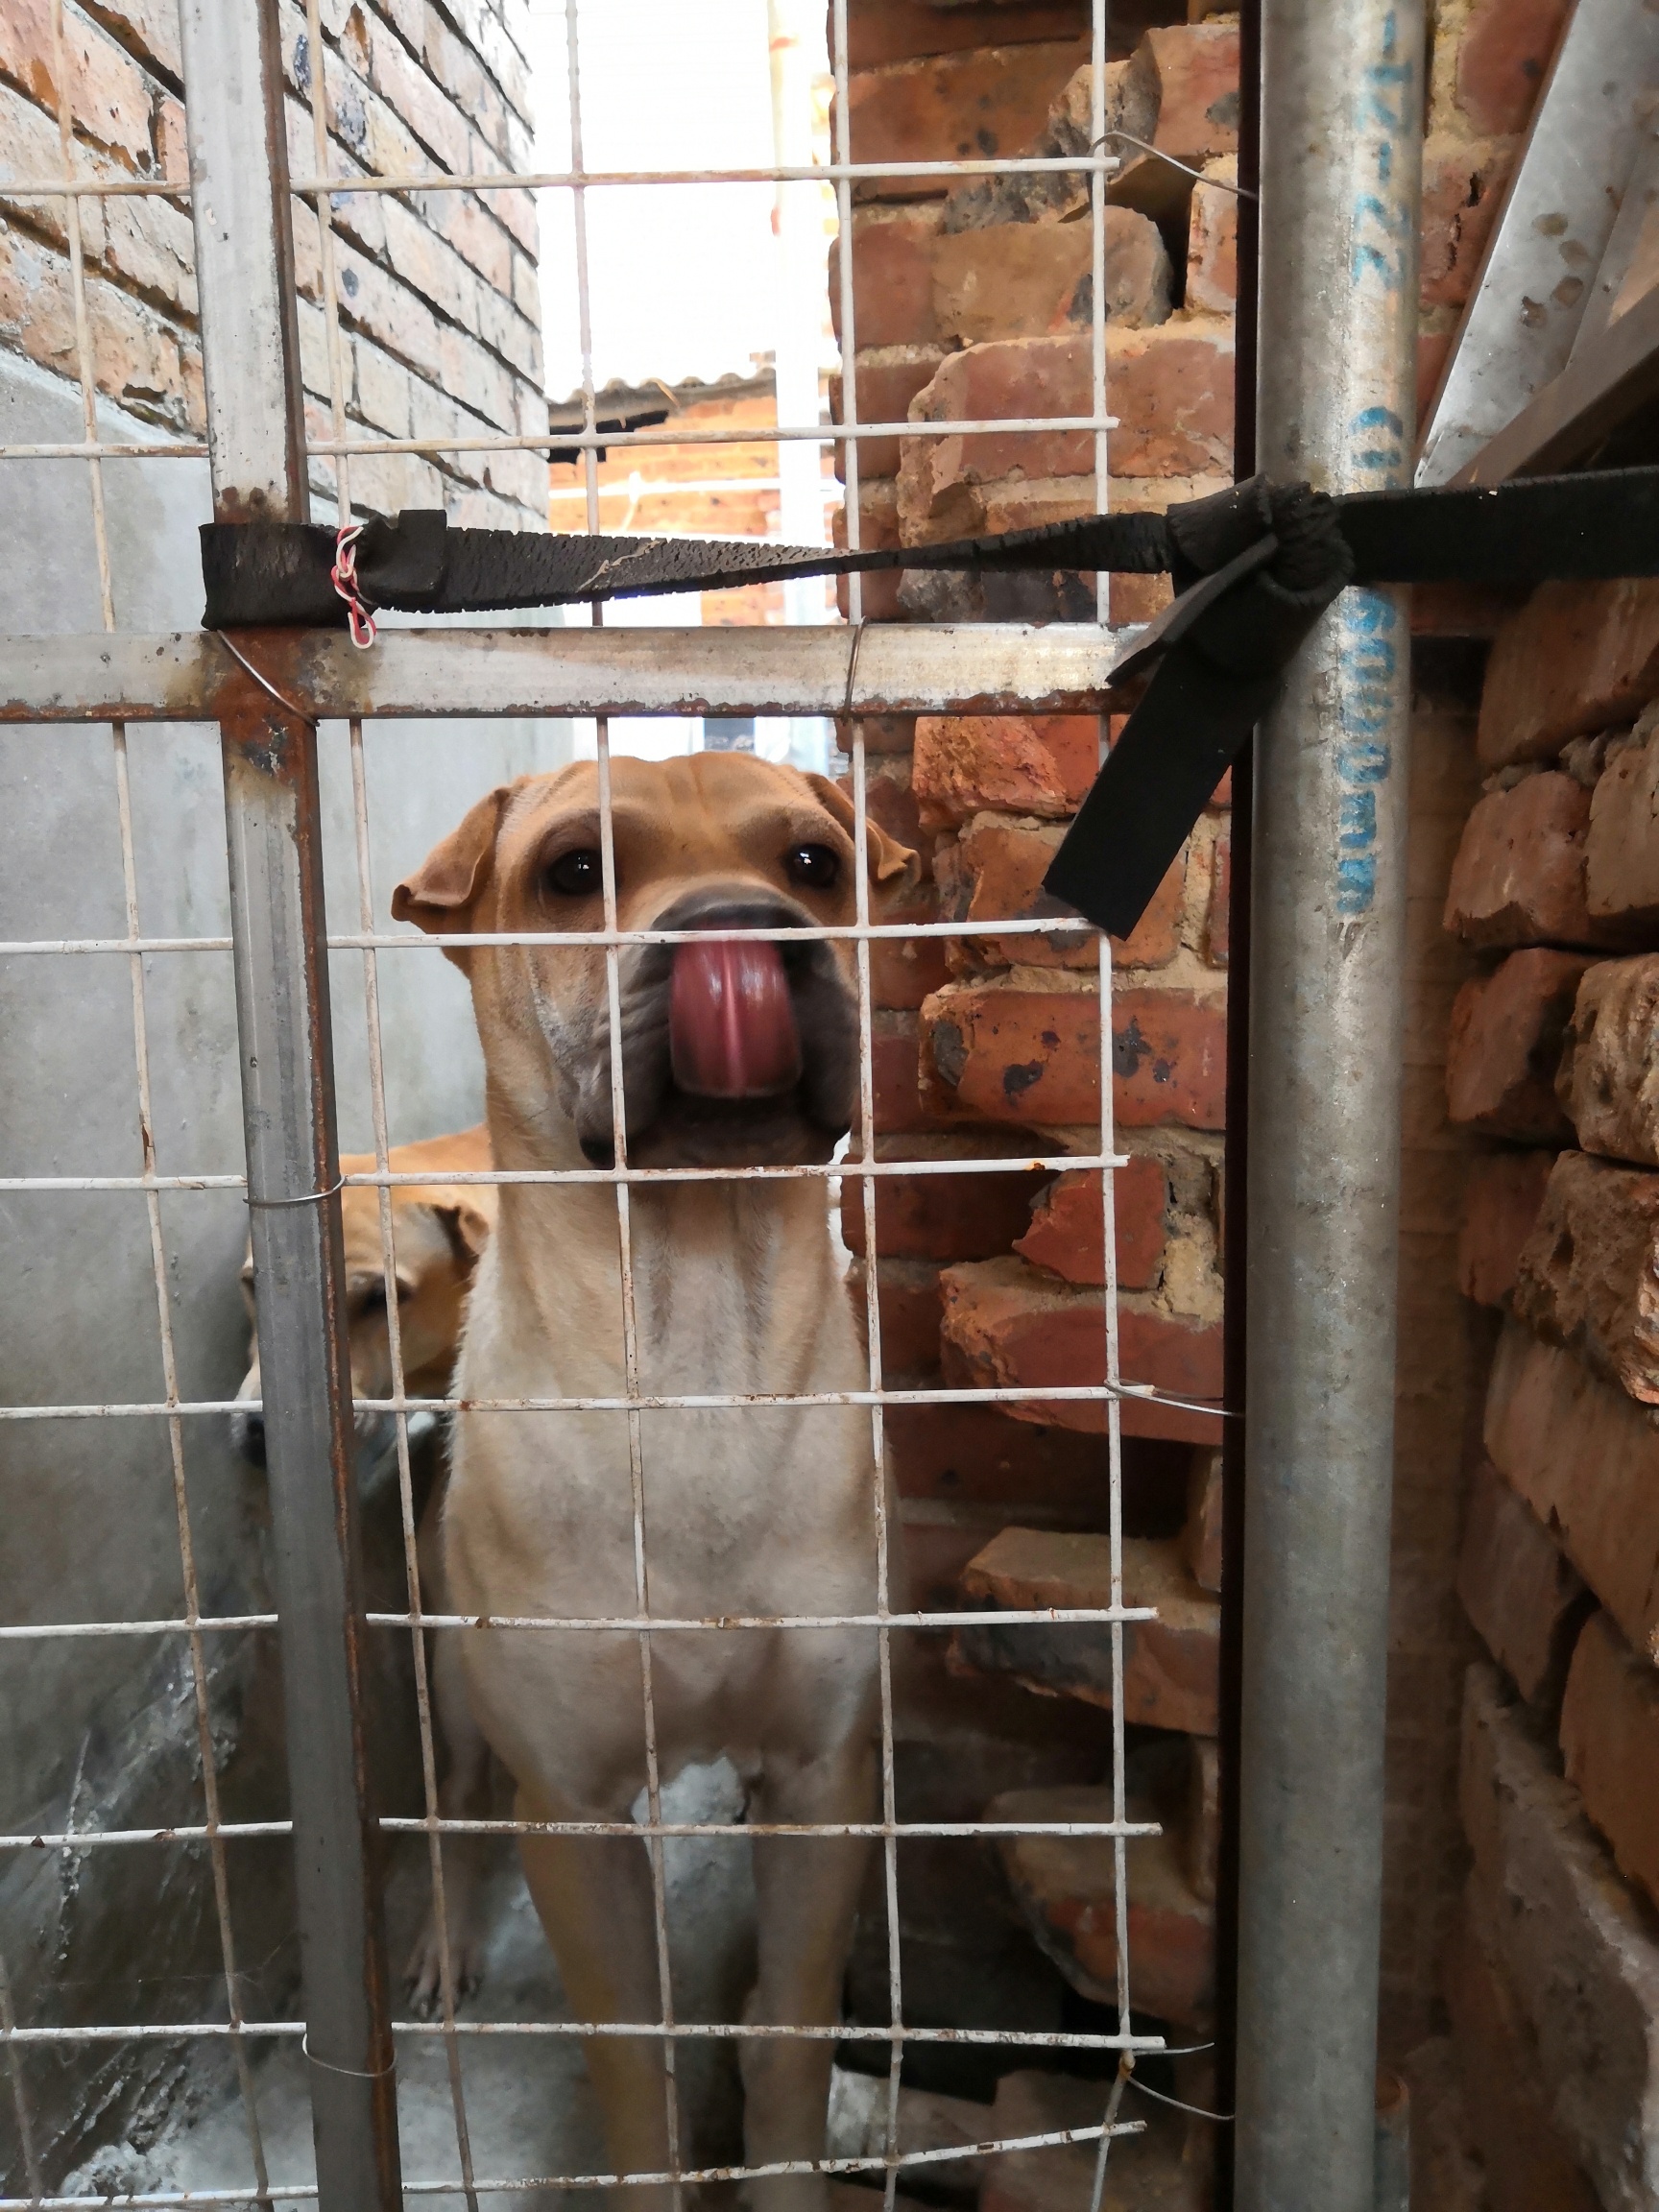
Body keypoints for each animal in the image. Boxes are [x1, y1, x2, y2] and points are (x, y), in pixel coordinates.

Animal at [396, 756, 915, 2212]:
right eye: (574, 872)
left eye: (814, 863)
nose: (743, 930)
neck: (686, 1359)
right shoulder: (572, 1815)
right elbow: (635, 2063)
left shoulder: (822, 1779)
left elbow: (788, 2037)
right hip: (455, 1691)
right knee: (456, 1818)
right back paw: (445, 1946)